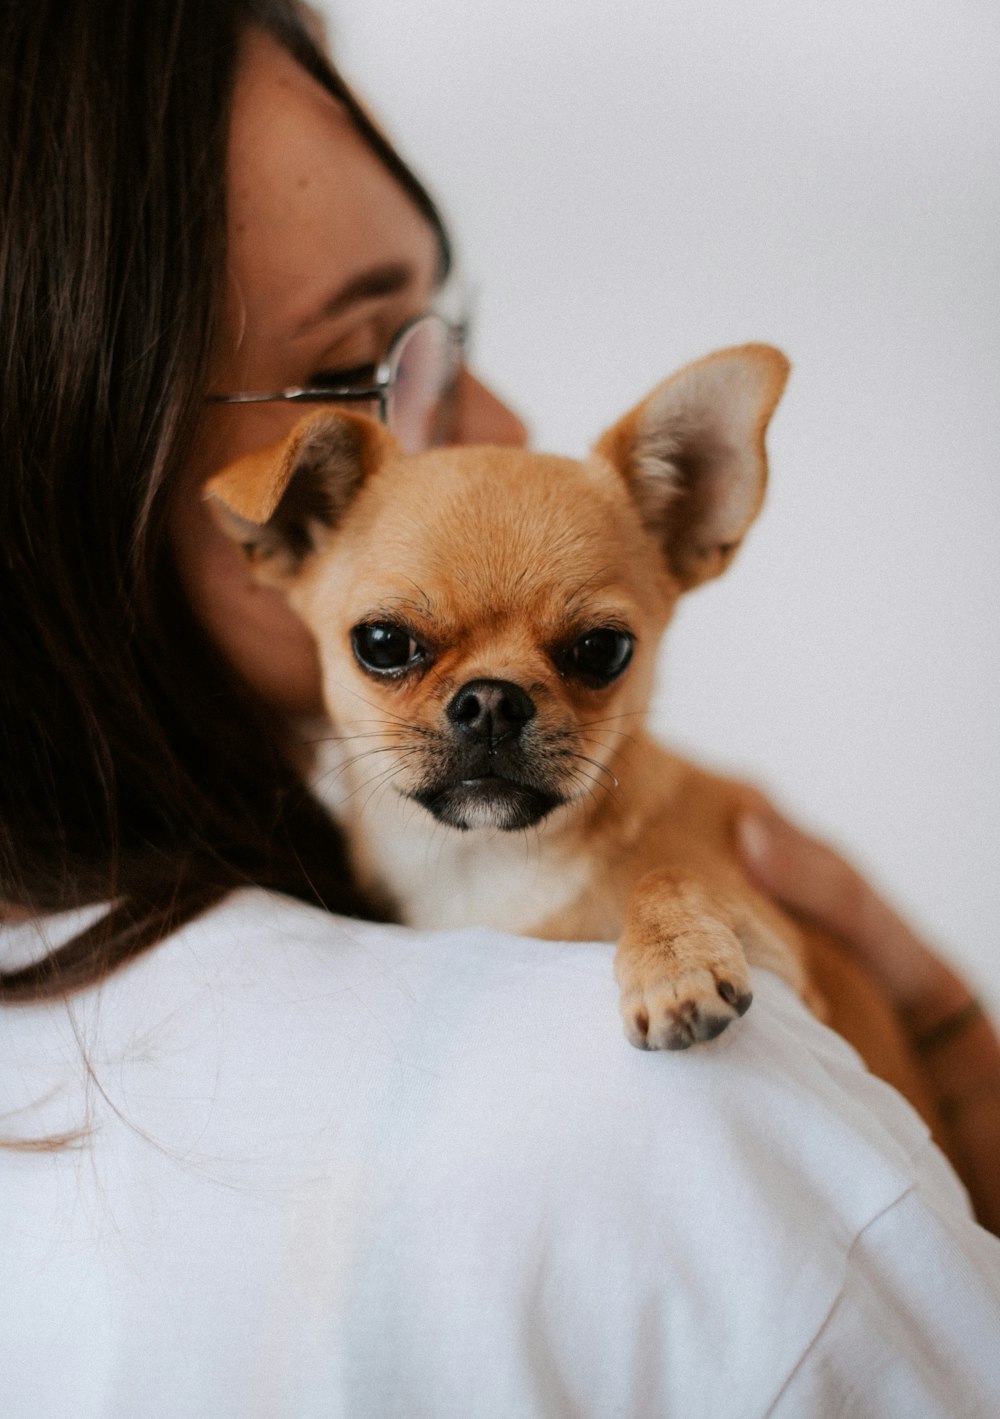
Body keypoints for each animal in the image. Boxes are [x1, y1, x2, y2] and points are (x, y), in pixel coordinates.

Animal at [202, 349, 936, 1101]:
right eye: (382, 643)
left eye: (603, 649)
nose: (491, 699)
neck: (486, 866)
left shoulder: (786, 954)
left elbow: (668, 874)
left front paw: (673, 967)